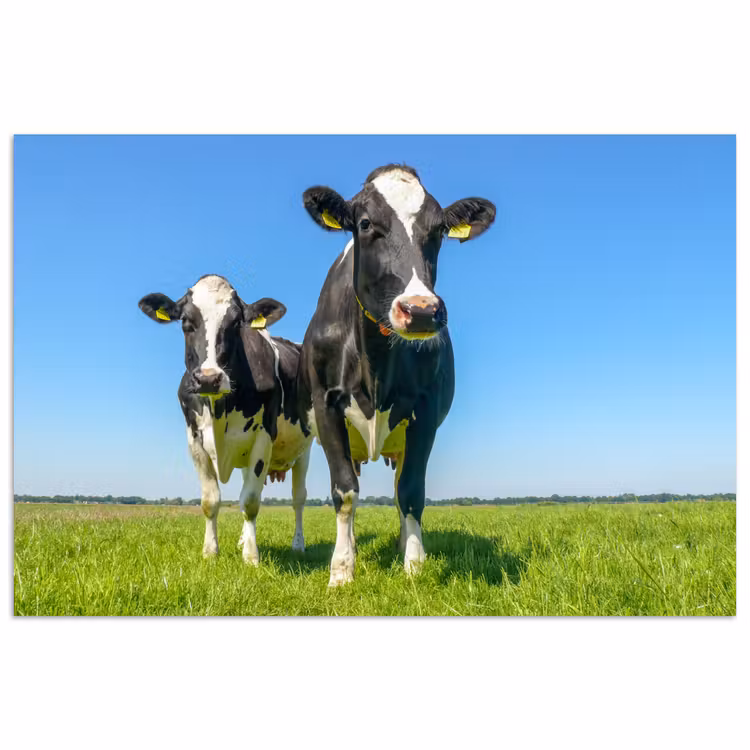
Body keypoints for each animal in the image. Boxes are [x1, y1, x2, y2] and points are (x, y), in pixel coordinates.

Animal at [139, 274, 312, 564]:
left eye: (236, 323)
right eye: (186, 322)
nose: (209, 378)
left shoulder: (264, 437)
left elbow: (251, 500)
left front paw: (251, 556)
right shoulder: (194, 440)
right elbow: (211, 500)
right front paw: (210, 551)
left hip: (305, 449)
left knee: (298, 498)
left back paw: (298, 544)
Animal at [298, 164, 495, 586]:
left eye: (439, 230)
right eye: (365, 223)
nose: (420, 310)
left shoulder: (425, 412)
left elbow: (411, 492)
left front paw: (414, 565)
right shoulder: (326, 405)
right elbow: (345, 491)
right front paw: (342, 569)